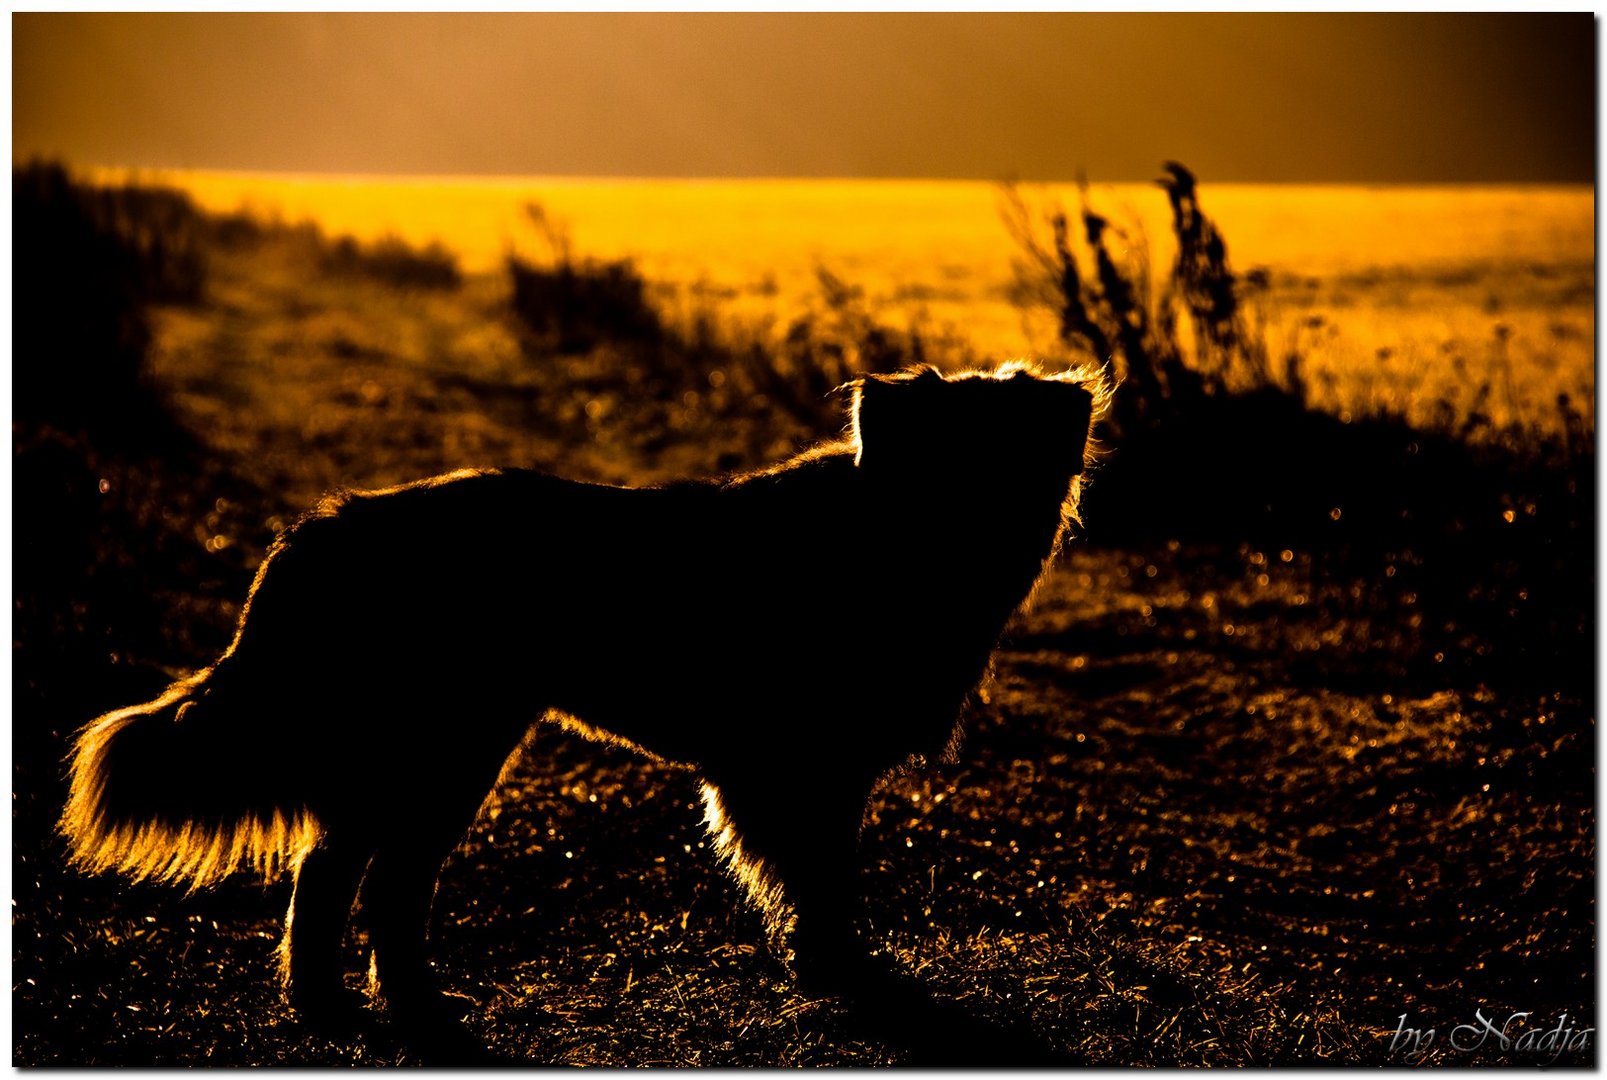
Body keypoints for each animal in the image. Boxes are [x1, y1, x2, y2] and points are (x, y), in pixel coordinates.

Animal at [53, 360, 1105, 1047]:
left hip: (416, 751)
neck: (893, 545)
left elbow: (809, 879)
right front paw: (839, 973)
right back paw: (407, 1007)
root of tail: (328, 523)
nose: (977, 525)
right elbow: (818, 881)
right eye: (943, 457)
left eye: (1005, 459)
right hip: (449, 747)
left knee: (332, 872)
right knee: (378, 881)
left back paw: (332, 1005)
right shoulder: (800, 768)